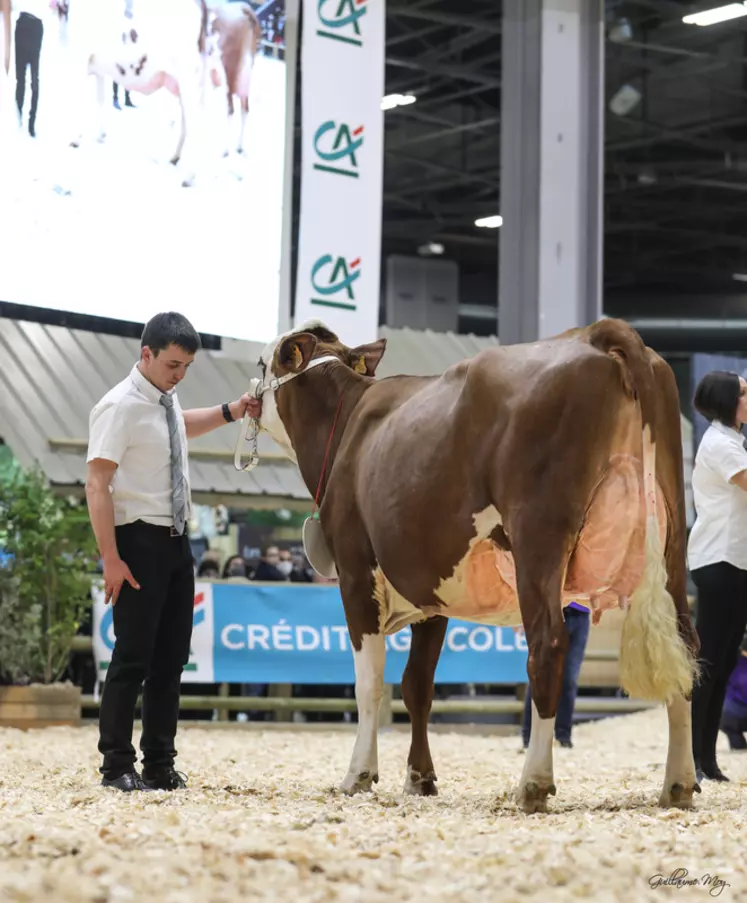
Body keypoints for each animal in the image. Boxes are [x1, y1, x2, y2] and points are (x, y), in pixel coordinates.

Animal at [254, 316, 704, 812]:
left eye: (262, 363)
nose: (246, 404)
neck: (348, 427)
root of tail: (597, 332)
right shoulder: (429, 590)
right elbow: (418, 685)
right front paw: (420, 778)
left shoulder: (356, 573)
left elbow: (369, 682)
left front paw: (359, 774)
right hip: (672, 535)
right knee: (684, 645)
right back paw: (678, 783)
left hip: (538, 534)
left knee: (547, 646)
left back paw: (533, 783)